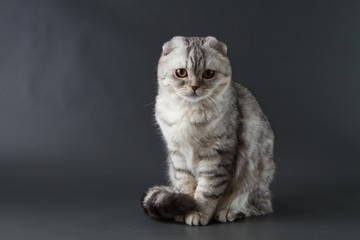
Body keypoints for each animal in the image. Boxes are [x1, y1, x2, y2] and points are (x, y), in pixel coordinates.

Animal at [141, 35, 276, 225]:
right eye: (181, 72)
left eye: (208, 73)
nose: (194, 87)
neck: (190, 113)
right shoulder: (178, 155)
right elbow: (185, 185)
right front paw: (184, 209)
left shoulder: (217, 154)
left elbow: (207, 190)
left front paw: (197, 212)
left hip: (253, 181)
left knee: (258, 206)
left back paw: (230, 211)